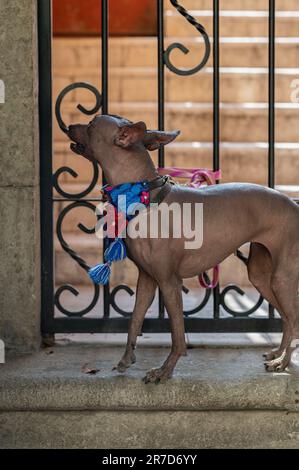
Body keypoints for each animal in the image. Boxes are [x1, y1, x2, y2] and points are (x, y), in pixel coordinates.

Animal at [68, 115, 299, 384]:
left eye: (92, 124)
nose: (69, 125)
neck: (143, 197)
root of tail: (294, 205)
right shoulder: (147, 280)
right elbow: (134, 321)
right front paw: (126, 359)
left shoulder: (169, 282)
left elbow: (177, 335)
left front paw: (164, 371)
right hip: (261, 276)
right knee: (288, 319)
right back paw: (279, 354)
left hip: (282, 279)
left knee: (294, 319)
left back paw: (283, 362)